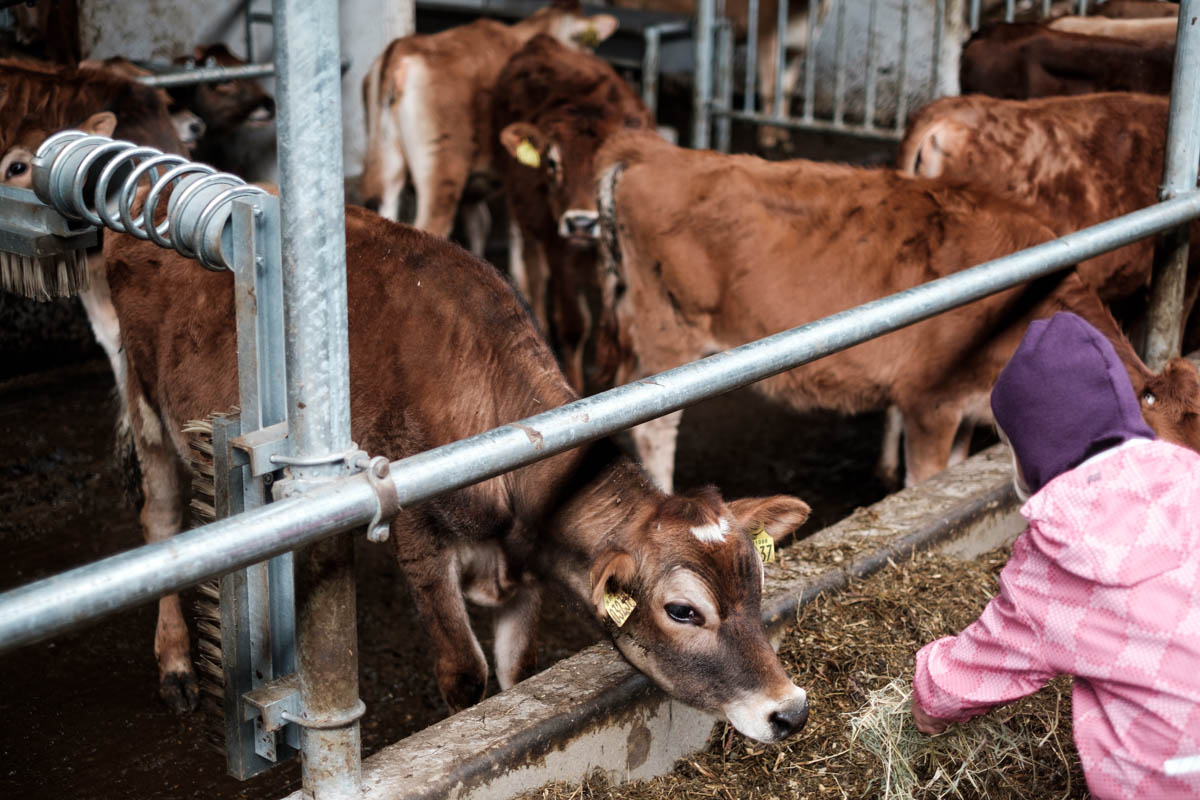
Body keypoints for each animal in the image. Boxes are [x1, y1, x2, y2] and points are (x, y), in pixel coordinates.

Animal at [96, 200, 815, 740]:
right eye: (682, 611)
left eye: (757, 580)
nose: (791, 710)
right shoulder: (420, 541)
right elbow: (465, 673)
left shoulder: (527, 568)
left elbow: (516, 670)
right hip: (147, 406)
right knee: (162, 522)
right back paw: (176, 664)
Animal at [492, 34, 652, 393]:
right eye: (552, 163)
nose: (581, 222)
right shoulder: (559, 253)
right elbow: (574, 327)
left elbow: (626, 339)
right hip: (528, 224)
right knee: (535, 273)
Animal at [592, 131, 1200, 491]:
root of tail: (652, 152)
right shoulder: (927, 401)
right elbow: (920, 481)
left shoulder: (966, 407)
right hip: (670, 335)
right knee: (655, 428)